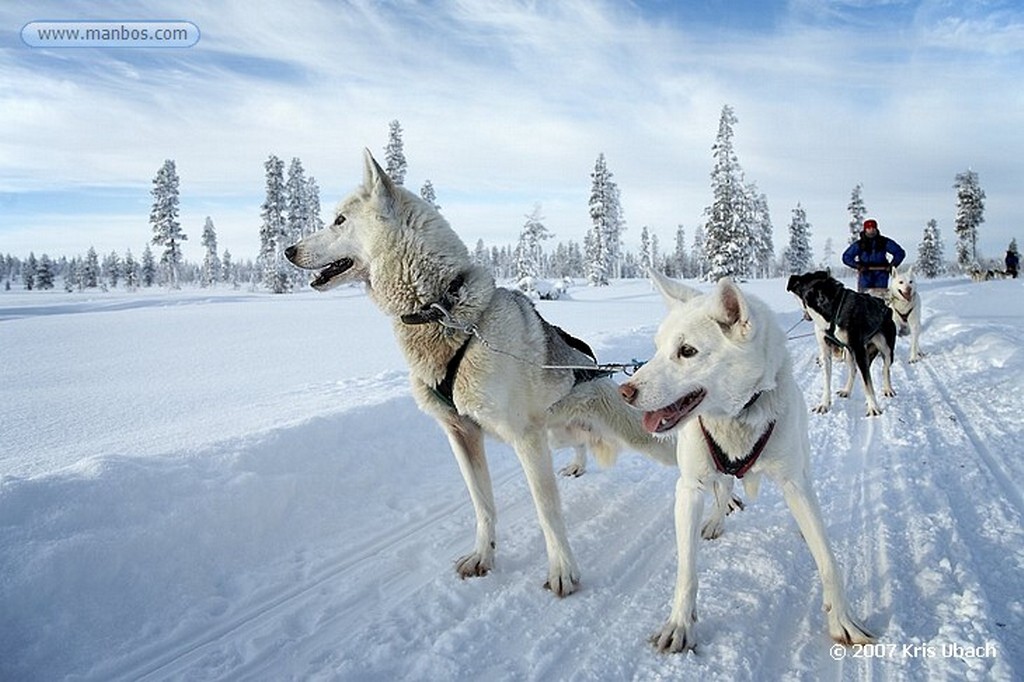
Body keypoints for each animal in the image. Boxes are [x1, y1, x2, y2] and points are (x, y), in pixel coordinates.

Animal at [286, 148, 679, 593]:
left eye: (338, 220)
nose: (288, 250)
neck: (443, 310)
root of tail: (594, 369)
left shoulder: (526, 439)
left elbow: (547, 510)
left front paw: (562, 570)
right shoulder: (461, 435)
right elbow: (483, 505)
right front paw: (484, 556)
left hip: (630, 439)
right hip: (558, 434)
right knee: (579, 445)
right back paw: (579, 464)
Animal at [614, 270, 872, 655]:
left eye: (687, 351)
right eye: (657, 347)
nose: (626, 392)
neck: (736, 416)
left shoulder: (793, 482)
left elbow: (827, 560)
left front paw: (842, 619)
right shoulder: (689, 488)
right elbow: (686, 571)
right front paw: (679, 624)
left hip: (802, 464)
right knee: (722, 486)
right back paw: (716, 518)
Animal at [786, 270, 892, 413]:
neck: (831, 309)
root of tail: (884, 305)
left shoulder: (859, 350)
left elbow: (867, 383)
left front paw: (873, 407)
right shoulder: (825, 351)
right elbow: (826, 380)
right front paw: (824, 404)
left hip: (885, 349)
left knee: (886, 368)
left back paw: (888, 389)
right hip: (848, 354)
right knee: (853, 370)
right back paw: (846, 390)